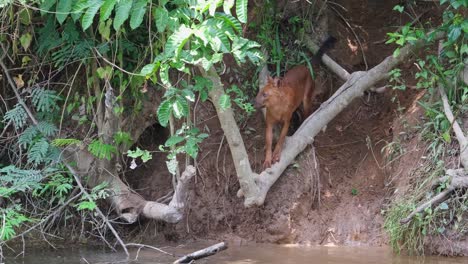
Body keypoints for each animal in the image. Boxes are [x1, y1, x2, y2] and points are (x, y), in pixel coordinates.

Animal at [254, 36, 334, 168]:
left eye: (265, 94)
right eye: (259, 92)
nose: (253, 102)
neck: (277, 108)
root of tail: (305, 67)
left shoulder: (286, 122)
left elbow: (281, 139)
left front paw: (276, 155)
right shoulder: (269, 123)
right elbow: (269, 142)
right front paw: (267, 159)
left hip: (306, 99)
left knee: (307, 114)